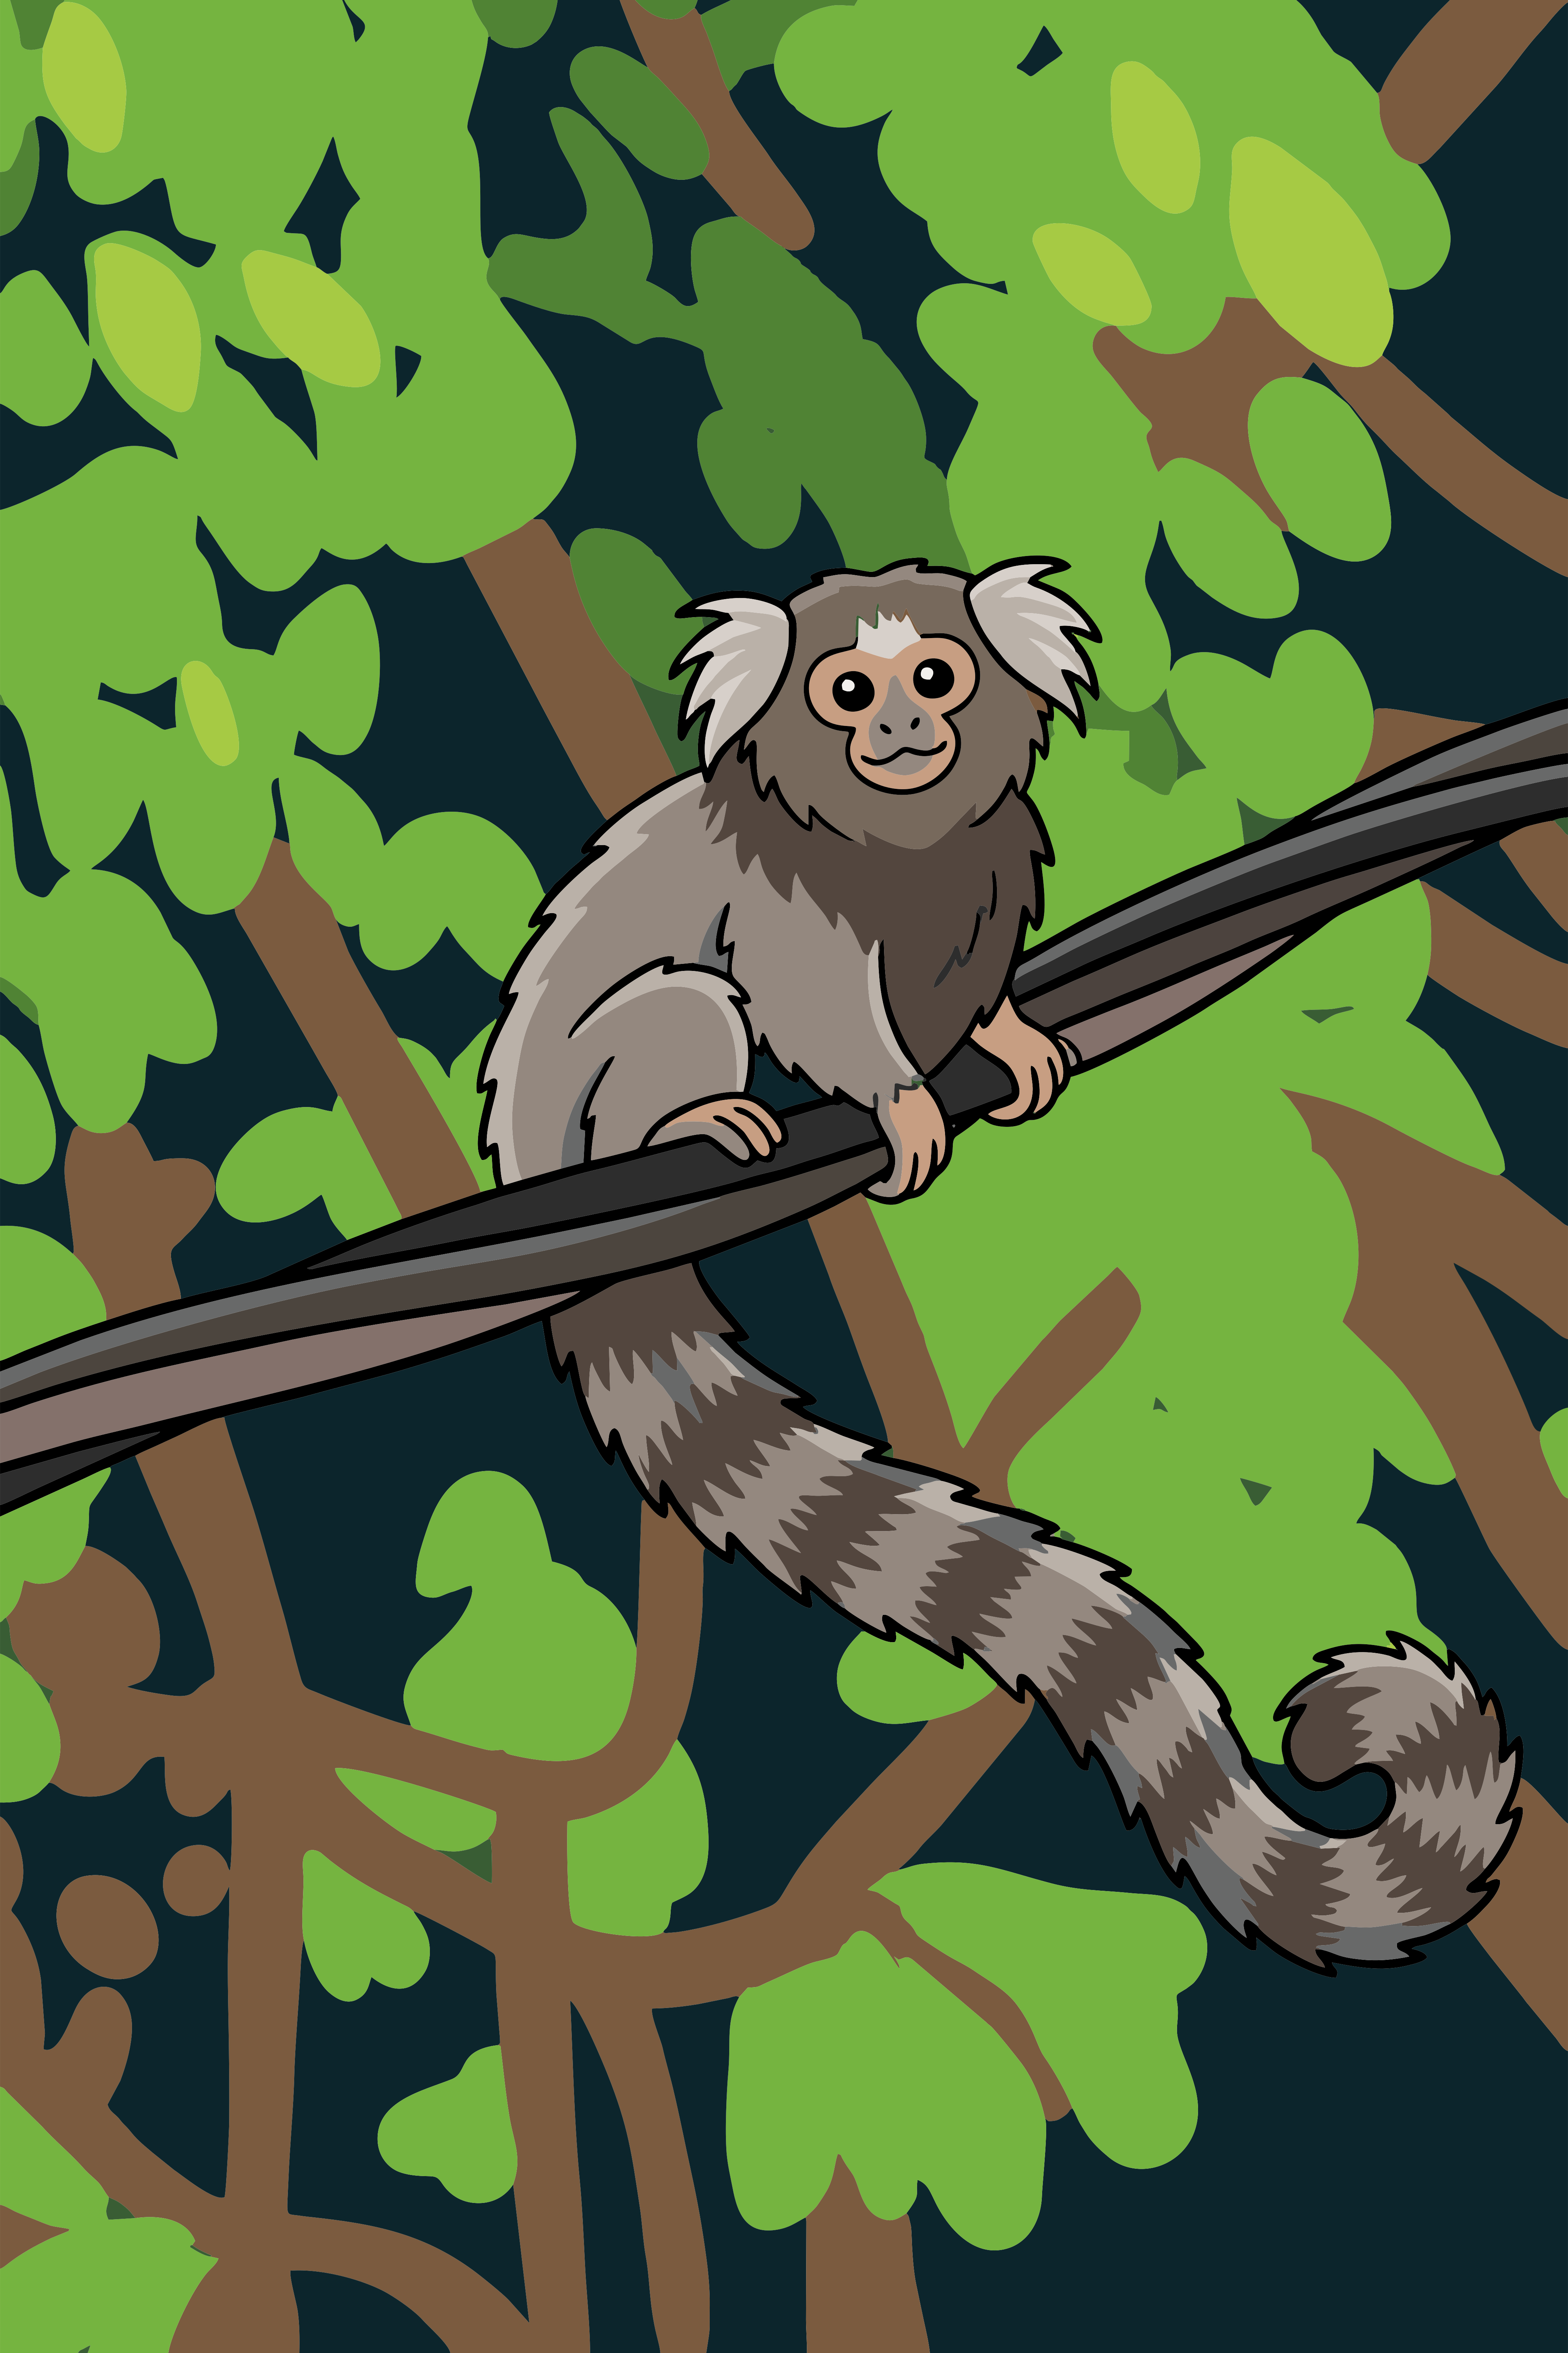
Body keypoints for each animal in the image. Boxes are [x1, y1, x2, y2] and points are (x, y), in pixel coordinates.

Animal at [477, 556, 1518, 1973]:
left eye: (935, 674)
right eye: (844, 689)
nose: (898, 728)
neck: (892, 844)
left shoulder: (986, 864)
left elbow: (960, 985)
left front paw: (1006, 1038)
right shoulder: (791, 903)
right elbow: (812, 1004)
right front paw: (899, 1102)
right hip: (598, 1092)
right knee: (684, 1003)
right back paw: (699, 1120)